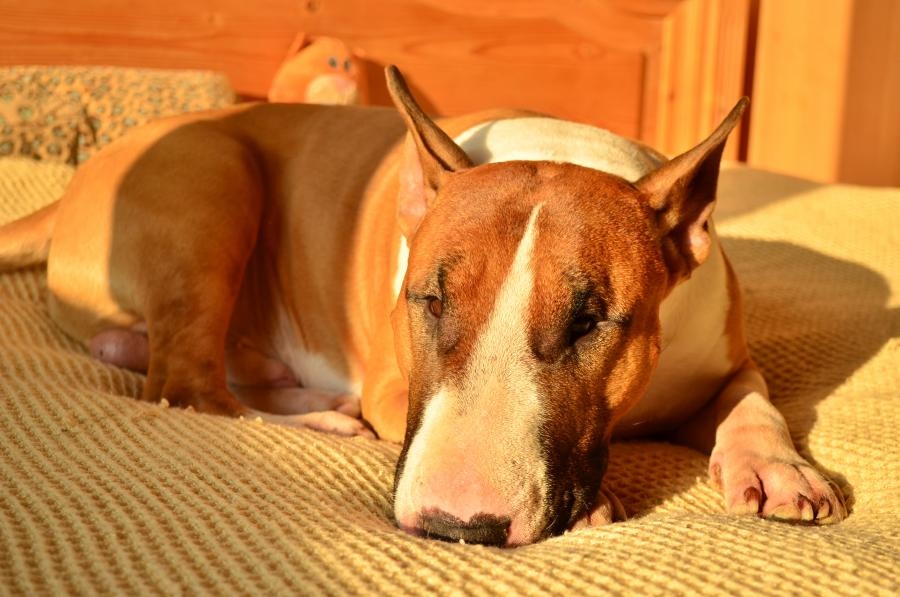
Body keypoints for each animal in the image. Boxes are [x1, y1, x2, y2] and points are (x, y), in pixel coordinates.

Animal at [0, 66, 844, 544]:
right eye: (429, 299)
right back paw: (322, 417)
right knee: (186, 388)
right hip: (214, 172)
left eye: (592, 321)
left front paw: (780, 469)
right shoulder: (391, 381)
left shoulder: (721, 358)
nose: (456, 524)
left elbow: (756, 399)